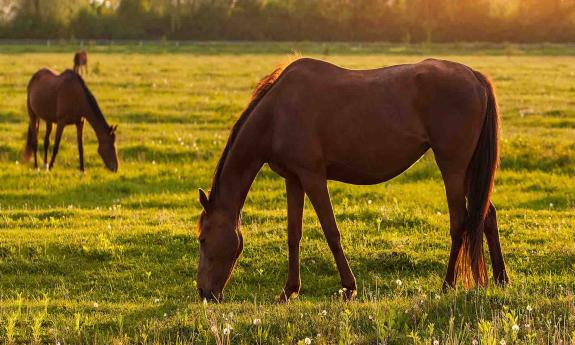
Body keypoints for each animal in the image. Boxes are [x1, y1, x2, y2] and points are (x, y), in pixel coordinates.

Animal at [197, 57, 508, 300]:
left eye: (202, 239)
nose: (205, 293)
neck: (277, 113)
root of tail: (474, 76)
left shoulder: (313, 177)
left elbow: (331, 232)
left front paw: (348, 287)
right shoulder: (293, 179)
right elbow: (293, 234)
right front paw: (289, 290)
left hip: (453, 168)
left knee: (460, 223)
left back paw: (447, 285)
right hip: (468, 171)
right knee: (486, 215)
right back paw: (501, 278)